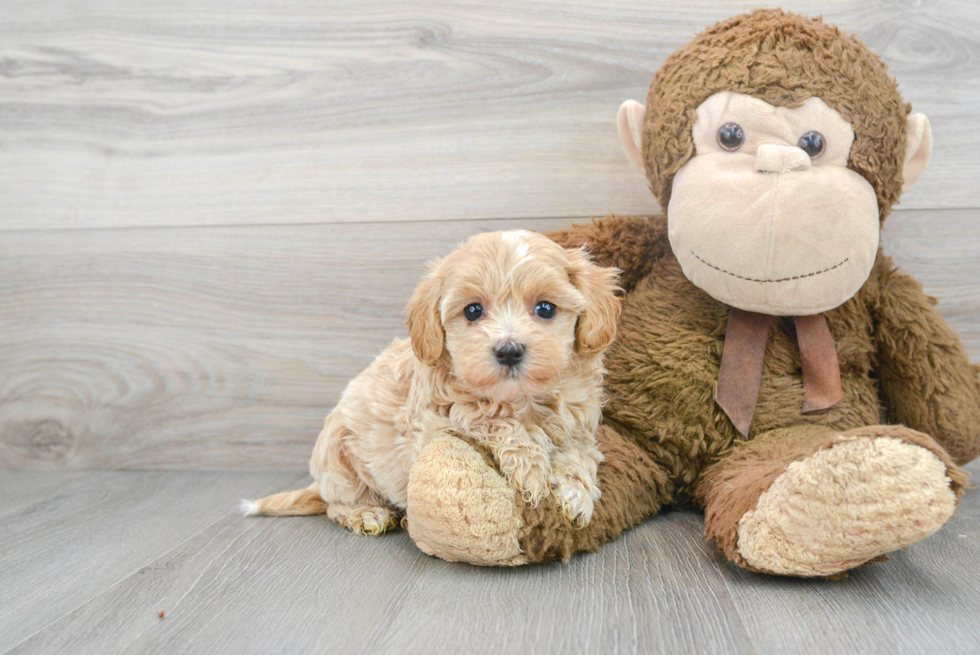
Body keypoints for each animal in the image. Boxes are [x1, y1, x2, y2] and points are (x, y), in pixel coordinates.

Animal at [243, 231, 620, 532]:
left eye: (545, 308)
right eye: (472, 311)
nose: (509, 351)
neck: (519, 398)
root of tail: (319, 485)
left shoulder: (579, 425)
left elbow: (580, 455)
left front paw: (575, 494)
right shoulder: (436, 421)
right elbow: (491, 420)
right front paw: (531, 469)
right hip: (340, 462)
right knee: (337, 506)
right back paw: (367, 515)